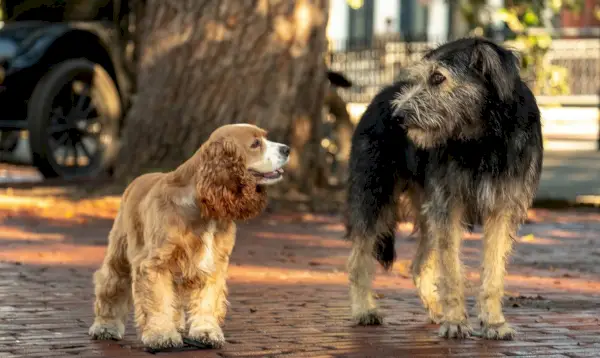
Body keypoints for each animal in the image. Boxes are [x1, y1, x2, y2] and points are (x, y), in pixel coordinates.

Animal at [344, 37, 540, 342]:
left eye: (438, 78)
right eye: (420, 78)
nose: (397, 116)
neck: (483, 139)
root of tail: (380, 95)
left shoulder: (502, 209)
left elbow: (494, 272)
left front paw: (494, 323)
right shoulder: (448, 206)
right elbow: (451, 271)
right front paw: (456, 322)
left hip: (426, 211)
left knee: (418, 264)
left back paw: (436, 309)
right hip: (373, 198)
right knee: (358, 260)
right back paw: (365, 310)